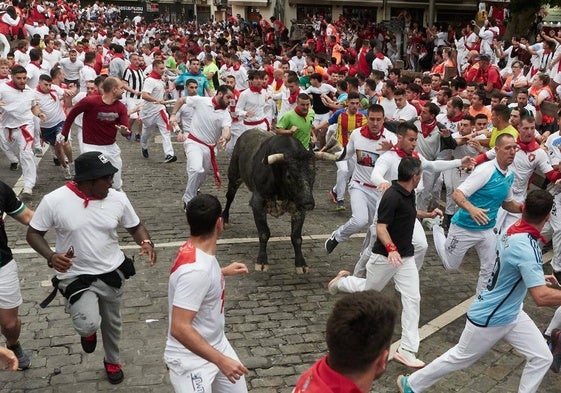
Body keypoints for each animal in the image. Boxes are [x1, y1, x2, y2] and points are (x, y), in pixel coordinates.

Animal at [220, 128, 332, 272]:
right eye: (289, 176)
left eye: (313, 174)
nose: (308, 203)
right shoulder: (258, 203)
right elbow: (264, 233)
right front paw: (262, 261)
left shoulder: (298, 208)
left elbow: (296, 237)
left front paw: (301, 264)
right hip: (234, 175)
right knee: (229, 196)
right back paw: (225, 219)